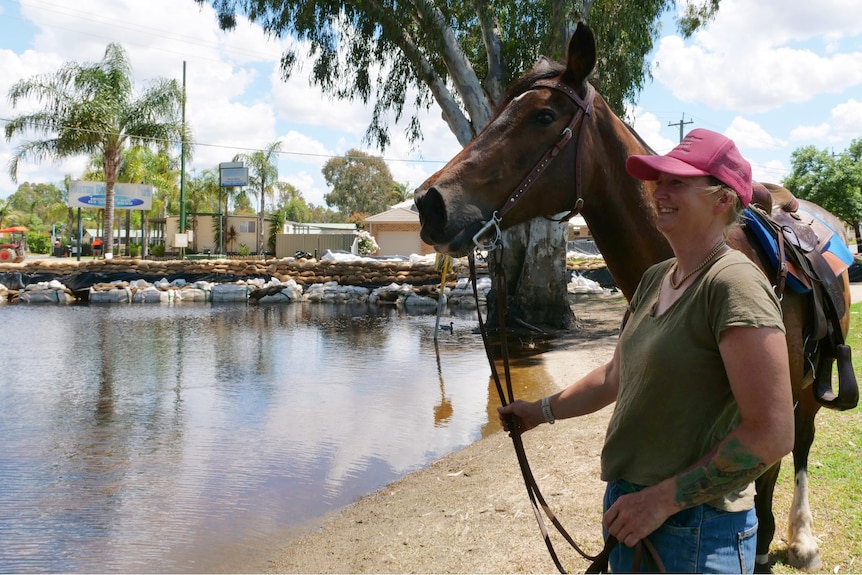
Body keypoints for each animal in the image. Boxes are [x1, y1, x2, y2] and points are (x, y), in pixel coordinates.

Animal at [416, 20, 852, 572]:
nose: (429, 203)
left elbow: (767, 473)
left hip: (809, 389)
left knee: (802, 445)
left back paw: (802, 537)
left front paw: (769, 540)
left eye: (543, 116)